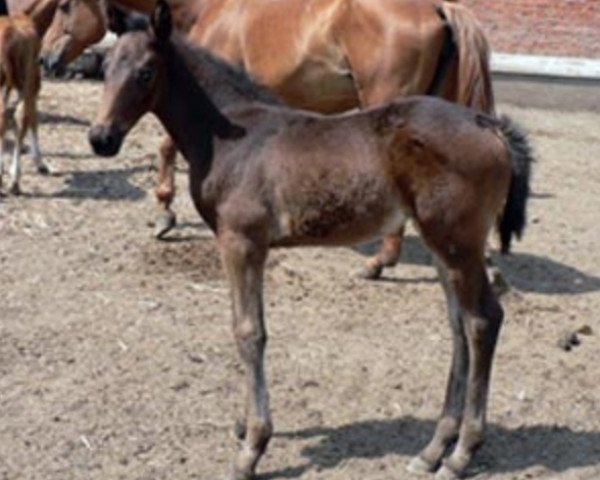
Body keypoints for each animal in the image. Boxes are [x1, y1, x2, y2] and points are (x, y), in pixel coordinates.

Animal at [86, 1, 532, 478]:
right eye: (107, 66)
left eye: (146, 72)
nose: (101, 138)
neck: (234, 133)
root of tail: (489, 126)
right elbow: (243, 326)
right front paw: (244, 426)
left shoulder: (242, 242)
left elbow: (249, 331)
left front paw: (253, 446)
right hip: (441, 243)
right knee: (458, 324)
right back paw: (434, 448)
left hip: (456, 241)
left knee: (483, 320)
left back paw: (462, 452)